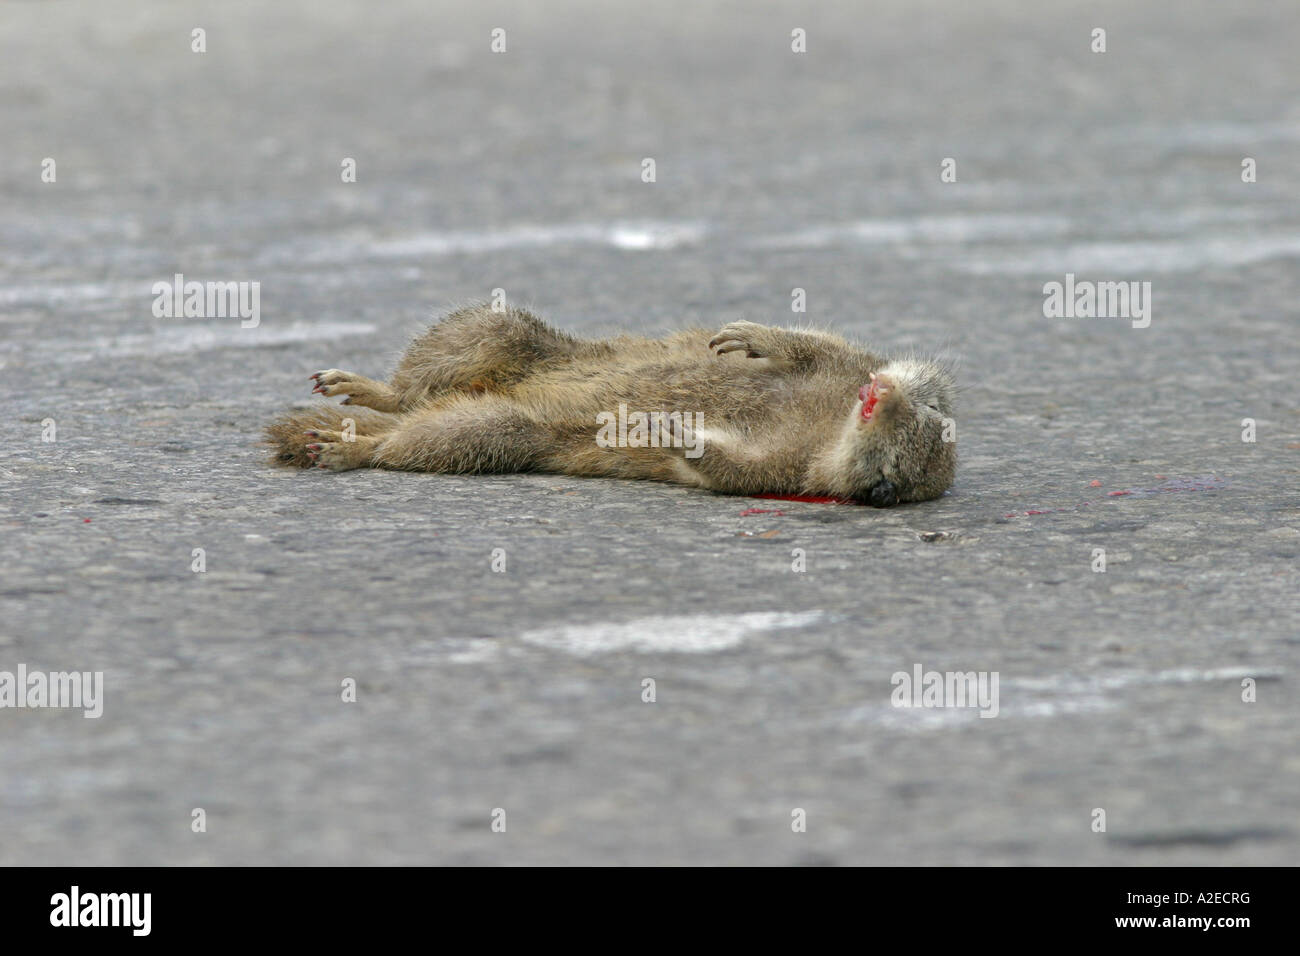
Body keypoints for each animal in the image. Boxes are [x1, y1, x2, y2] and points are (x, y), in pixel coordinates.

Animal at [261, 306, 956, 504]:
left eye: (895, 462)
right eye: (930, 408)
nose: (880, 394)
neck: (832, 423)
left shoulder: (789, 474)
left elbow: (726, 471)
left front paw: (679, 434)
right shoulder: (848, 360)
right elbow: (807, 345)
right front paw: (752, 336)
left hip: (503, 425)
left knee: (451, 431)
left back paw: (358, 443)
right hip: (504, 338)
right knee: (456, 357)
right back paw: (372, 394)